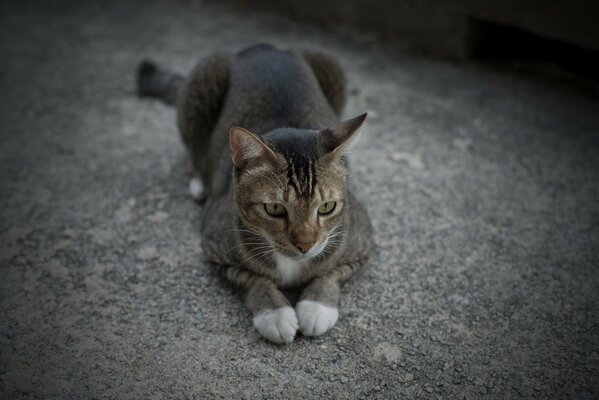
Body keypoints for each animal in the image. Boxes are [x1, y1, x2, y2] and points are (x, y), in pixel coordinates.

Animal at [138, 44, 376, 344]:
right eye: (274, 209)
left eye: (326, 207)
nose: (305, 245)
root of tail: (262, 47)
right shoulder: (214, 247)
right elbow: (253, 280)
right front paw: (275, 315)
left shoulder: (363, 241)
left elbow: (332, 273)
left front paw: (316, 307)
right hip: (204, 75)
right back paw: (198, 182)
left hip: (329, 62)